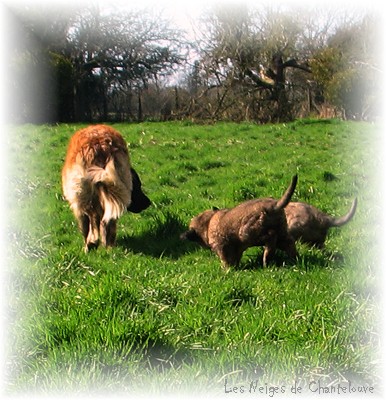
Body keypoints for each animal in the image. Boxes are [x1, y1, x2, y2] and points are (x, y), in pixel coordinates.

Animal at [61, 123, 150, 252]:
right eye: (137, 188)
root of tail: (101, 145)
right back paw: (108, 247)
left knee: (96, 220)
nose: (148, 203)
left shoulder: (78, 205)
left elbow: (86, 226)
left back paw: (94, 244)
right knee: (107, 221)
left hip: (85, 195)